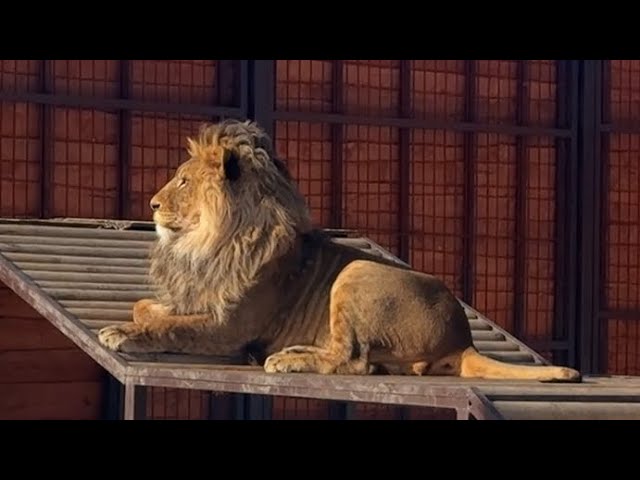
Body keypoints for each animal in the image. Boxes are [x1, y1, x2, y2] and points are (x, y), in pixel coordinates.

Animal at [97, 119, 582, 382]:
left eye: (182, 181)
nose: (152, 204)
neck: (206, 244)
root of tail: (461, 337)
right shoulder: (198, 298)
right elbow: (149, 308)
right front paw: (137, 318)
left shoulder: (229, 327)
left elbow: (174, 328)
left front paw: (122, 332)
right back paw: (295, 352)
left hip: (356, 273)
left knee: (355, 361)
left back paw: (285, 360)